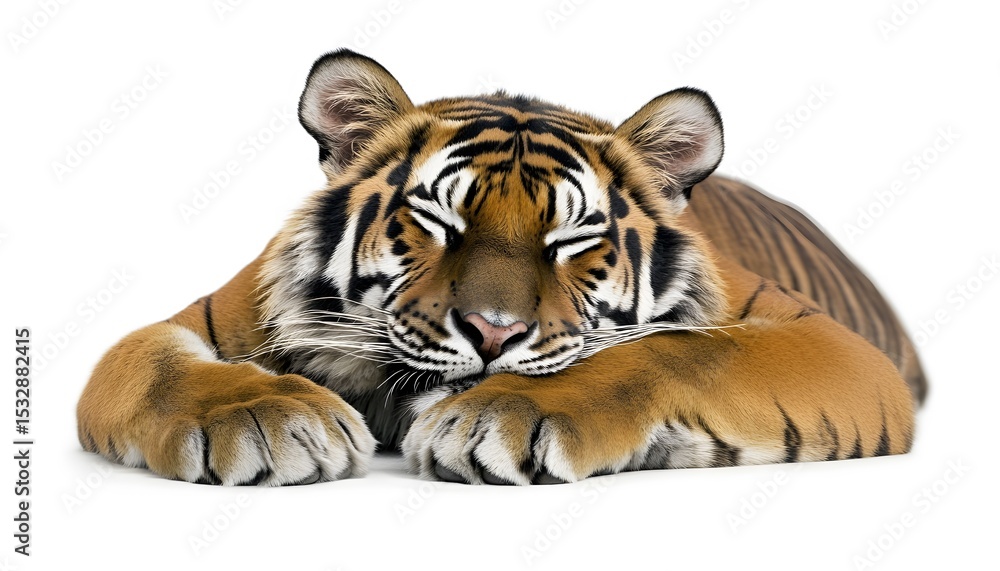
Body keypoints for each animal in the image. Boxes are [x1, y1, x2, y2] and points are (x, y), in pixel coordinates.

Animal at [76, 49, 926, 486]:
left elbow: (674, 349)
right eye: (439, 223)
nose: (492, 333)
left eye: (573, 237)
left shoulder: (830, 342)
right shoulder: (189, 323)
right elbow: (158, 363)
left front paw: (505, 413)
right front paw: (268, 416)